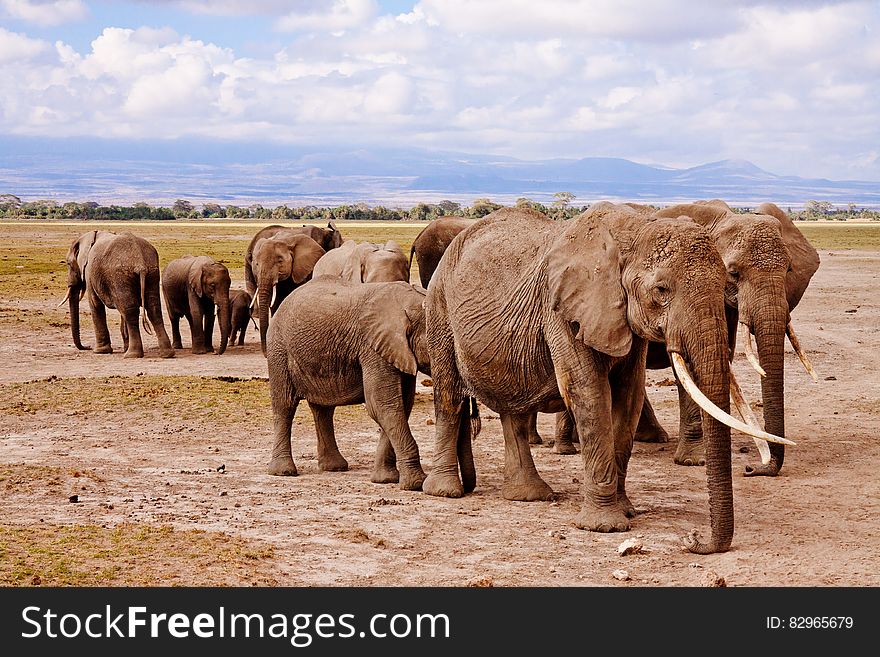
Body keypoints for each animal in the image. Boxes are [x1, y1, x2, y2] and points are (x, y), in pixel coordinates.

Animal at [268, 274, 434, 490]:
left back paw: (334, 467)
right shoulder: (373, 347)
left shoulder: (397, 350)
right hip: (278, 347)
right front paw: (416, 484)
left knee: (323, 409)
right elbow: (382, 405)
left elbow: (400, 405)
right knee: (285, 405)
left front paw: (384, 479)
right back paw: (283, 472)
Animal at [426, 205, 792, 552]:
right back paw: (445, 491)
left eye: (725, 282)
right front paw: (605, 526)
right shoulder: (562, 310)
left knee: (512, 410)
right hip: (439, 307)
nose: (694, 539)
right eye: (661, 290)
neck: (632, 231)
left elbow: (628, 396)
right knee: (449, 394)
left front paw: (626, 510)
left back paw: (528, 495)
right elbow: (590, 393)